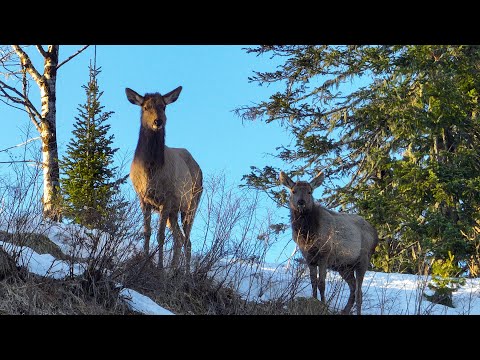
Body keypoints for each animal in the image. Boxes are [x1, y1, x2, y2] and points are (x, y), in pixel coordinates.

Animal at [124, 86, 202, 272]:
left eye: (164, 107)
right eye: (145, 107)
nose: (158, 121)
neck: (151, 172)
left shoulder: (166, 199)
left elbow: (160, 235)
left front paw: (159, 267)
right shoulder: (143, 198)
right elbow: (147, 232)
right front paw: (145, 262)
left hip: (191, 203)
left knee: (186, 240)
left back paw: (185, 273)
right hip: (173, 213)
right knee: (179, 238)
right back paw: (173, 269)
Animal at [278, 170, 378, 314]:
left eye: (310, 191)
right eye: (293, 191)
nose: (301, 202)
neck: (307, 235)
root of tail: (376, 234)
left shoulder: (324, 254)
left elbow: (321, 283)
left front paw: (323, 304)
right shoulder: (308, 257)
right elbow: (313, 282)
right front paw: (314, 301)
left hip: (363, 260)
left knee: (359, 293)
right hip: (344, 266)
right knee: (353, 288)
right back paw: (344, 310)